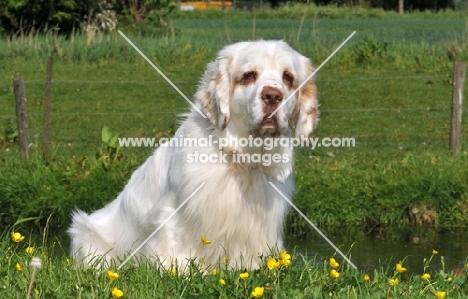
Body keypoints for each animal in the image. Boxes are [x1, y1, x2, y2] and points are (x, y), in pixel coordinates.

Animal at [67, 39, 320, 270]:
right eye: (249, 75)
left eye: (288, 77)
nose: (273, 96)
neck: (241, 159)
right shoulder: (176, 216)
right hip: (86, 233)